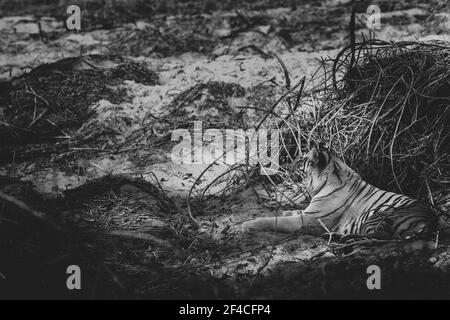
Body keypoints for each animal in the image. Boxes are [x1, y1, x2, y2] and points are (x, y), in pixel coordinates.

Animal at [241, 146, 438, 239]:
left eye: (300, 162)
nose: (287, 168)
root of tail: (431, 221)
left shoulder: (309, 219)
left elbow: (274, 221)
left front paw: (248, 224)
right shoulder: (307, 211)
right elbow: (287, 212)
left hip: (380, 214)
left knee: (378, 237)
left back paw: (337, 237)